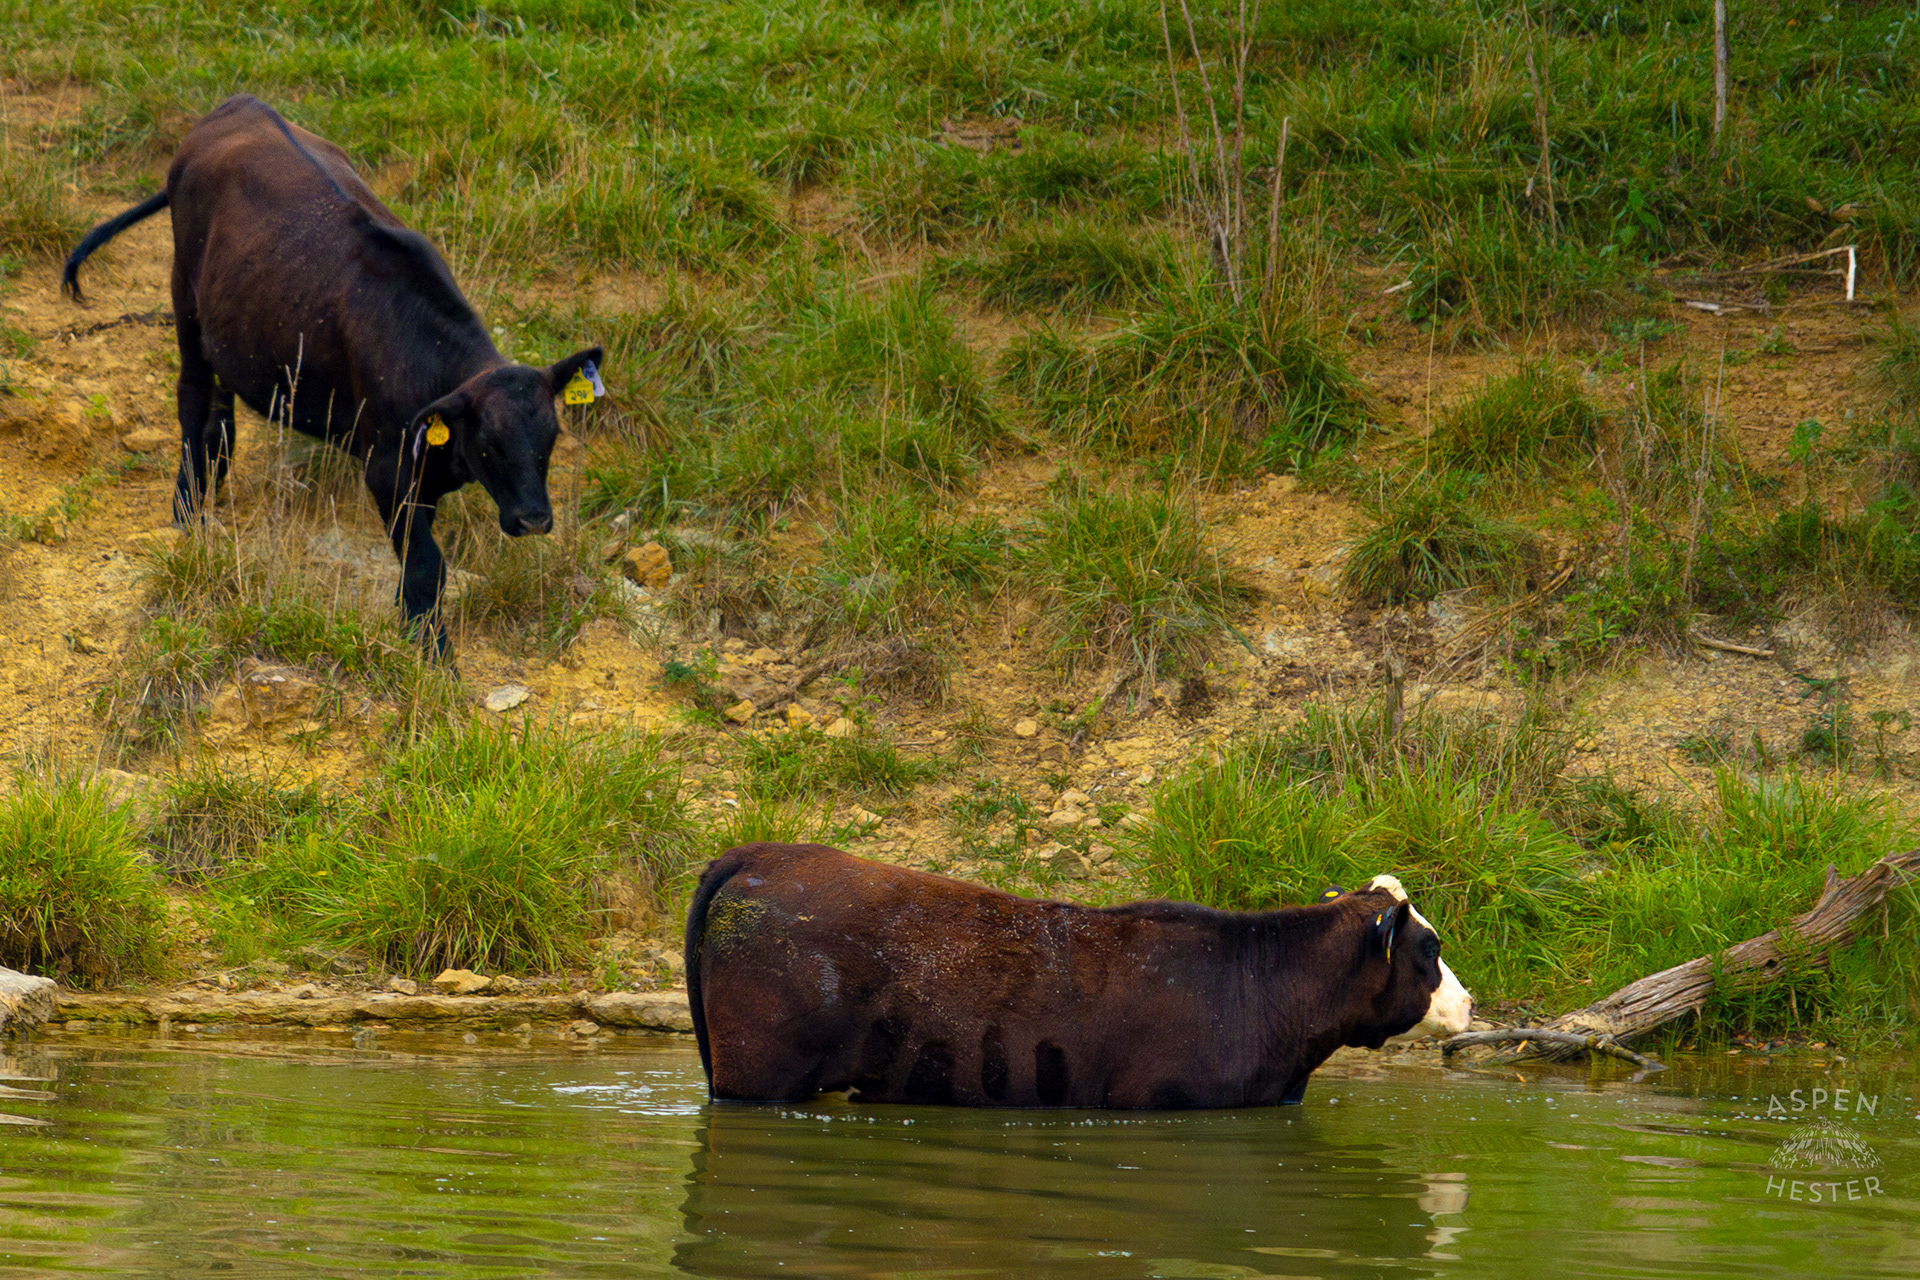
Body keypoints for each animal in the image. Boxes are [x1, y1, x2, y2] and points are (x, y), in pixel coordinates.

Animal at [62, 94, 602, 655]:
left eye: (553, 437)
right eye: (489, 443)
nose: (534, 519)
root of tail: (238, 104)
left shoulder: (421, 472)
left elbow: (416, 563)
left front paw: (410, 625)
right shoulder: (385, 466)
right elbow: (427, 565)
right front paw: (434, 655)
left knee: (220, 417)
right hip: (184, 299)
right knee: (192, 400)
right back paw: (187, 511)